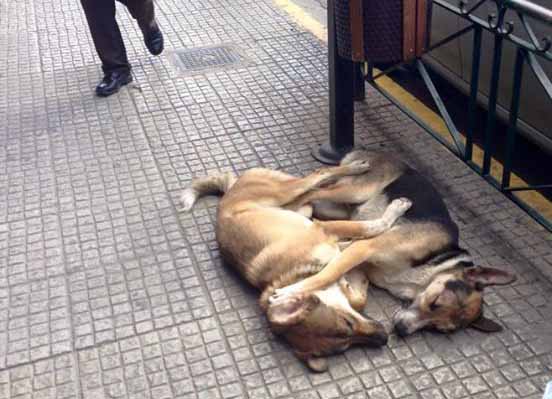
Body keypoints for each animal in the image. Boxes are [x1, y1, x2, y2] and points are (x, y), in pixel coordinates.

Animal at [182, 160, 414, 372]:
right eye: (344, 345)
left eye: (347, 323)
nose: (384, 338)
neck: (297, 273)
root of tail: (229, 190)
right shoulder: (332, 244)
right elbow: (350, 277)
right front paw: (354, 282)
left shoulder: (324, 230)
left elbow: (369, 228)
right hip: (297, 207)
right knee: (311, 194)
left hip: (285, 191)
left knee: (319, 175)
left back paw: (357, 167)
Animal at [270, 150, 516, 338]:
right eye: (435, 302)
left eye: (439, 328)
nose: (401, 330)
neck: (430, 270)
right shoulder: (366, 248)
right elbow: (326, 275)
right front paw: (289, 293)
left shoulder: (359, 255)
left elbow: (349, 284)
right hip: (355, 191)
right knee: (313, 186)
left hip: (337, 209)